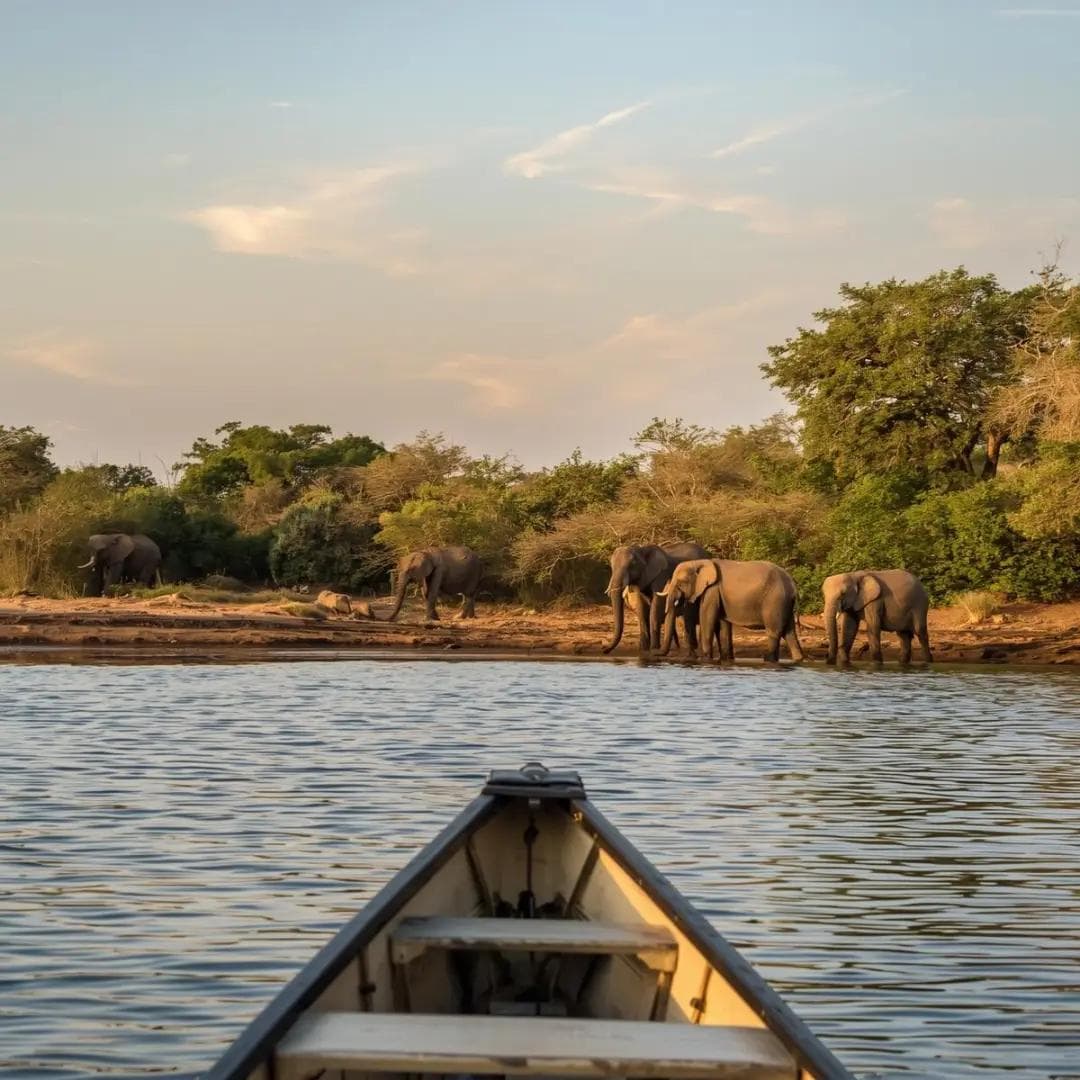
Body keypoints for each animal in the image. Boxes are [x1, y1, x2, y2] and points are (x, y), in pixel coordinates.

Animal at [658, 559, 804, 663]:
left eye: (681, 582)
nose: (659, 655)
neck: (699, 562)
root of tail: (794, 587)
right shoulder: (718, 594)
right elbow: (724, 626)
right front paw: (726, 659)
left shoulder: (712, 590)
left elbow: (707, 619)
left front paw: (706, 659)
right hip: (785, 603)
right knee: (790, 633)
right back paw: (798, 660)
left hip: (775, 600)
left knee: (775, 631)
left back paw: (768, 659)